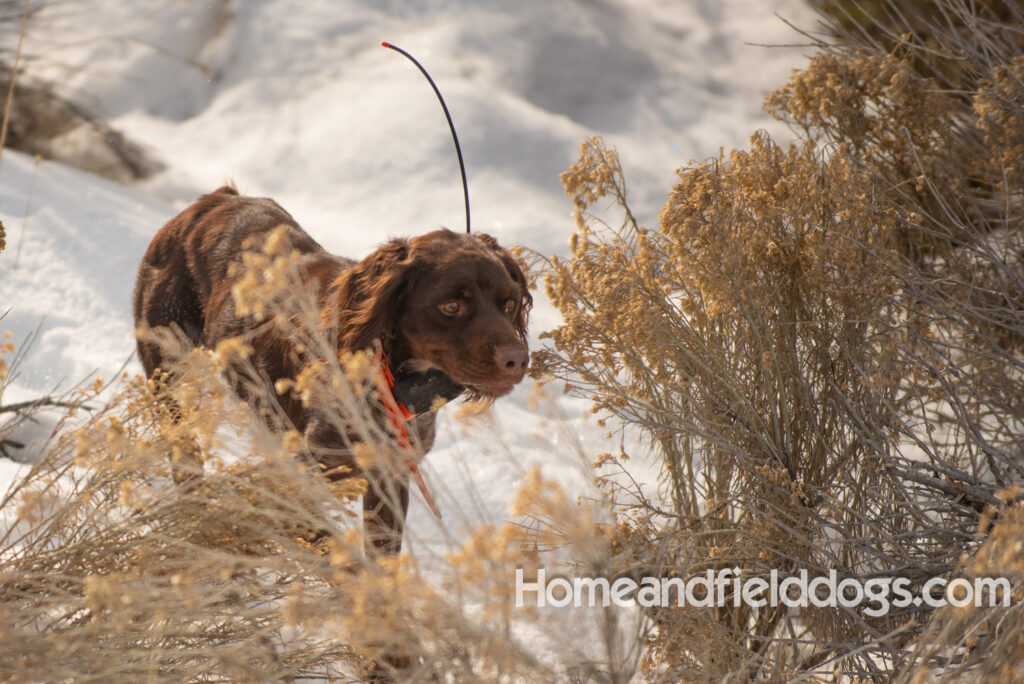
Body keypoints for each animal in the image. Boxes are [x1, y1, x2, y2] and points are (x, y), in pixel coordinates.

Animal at [133, 187, 532, 557]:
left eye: (509, 303)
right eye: (451, 305)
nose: (517, 359)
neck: (391, 380)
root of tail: (214, 199)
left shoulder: (388, 477)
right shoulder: (308, 474)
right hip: (169, 376)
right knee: (184, 456)